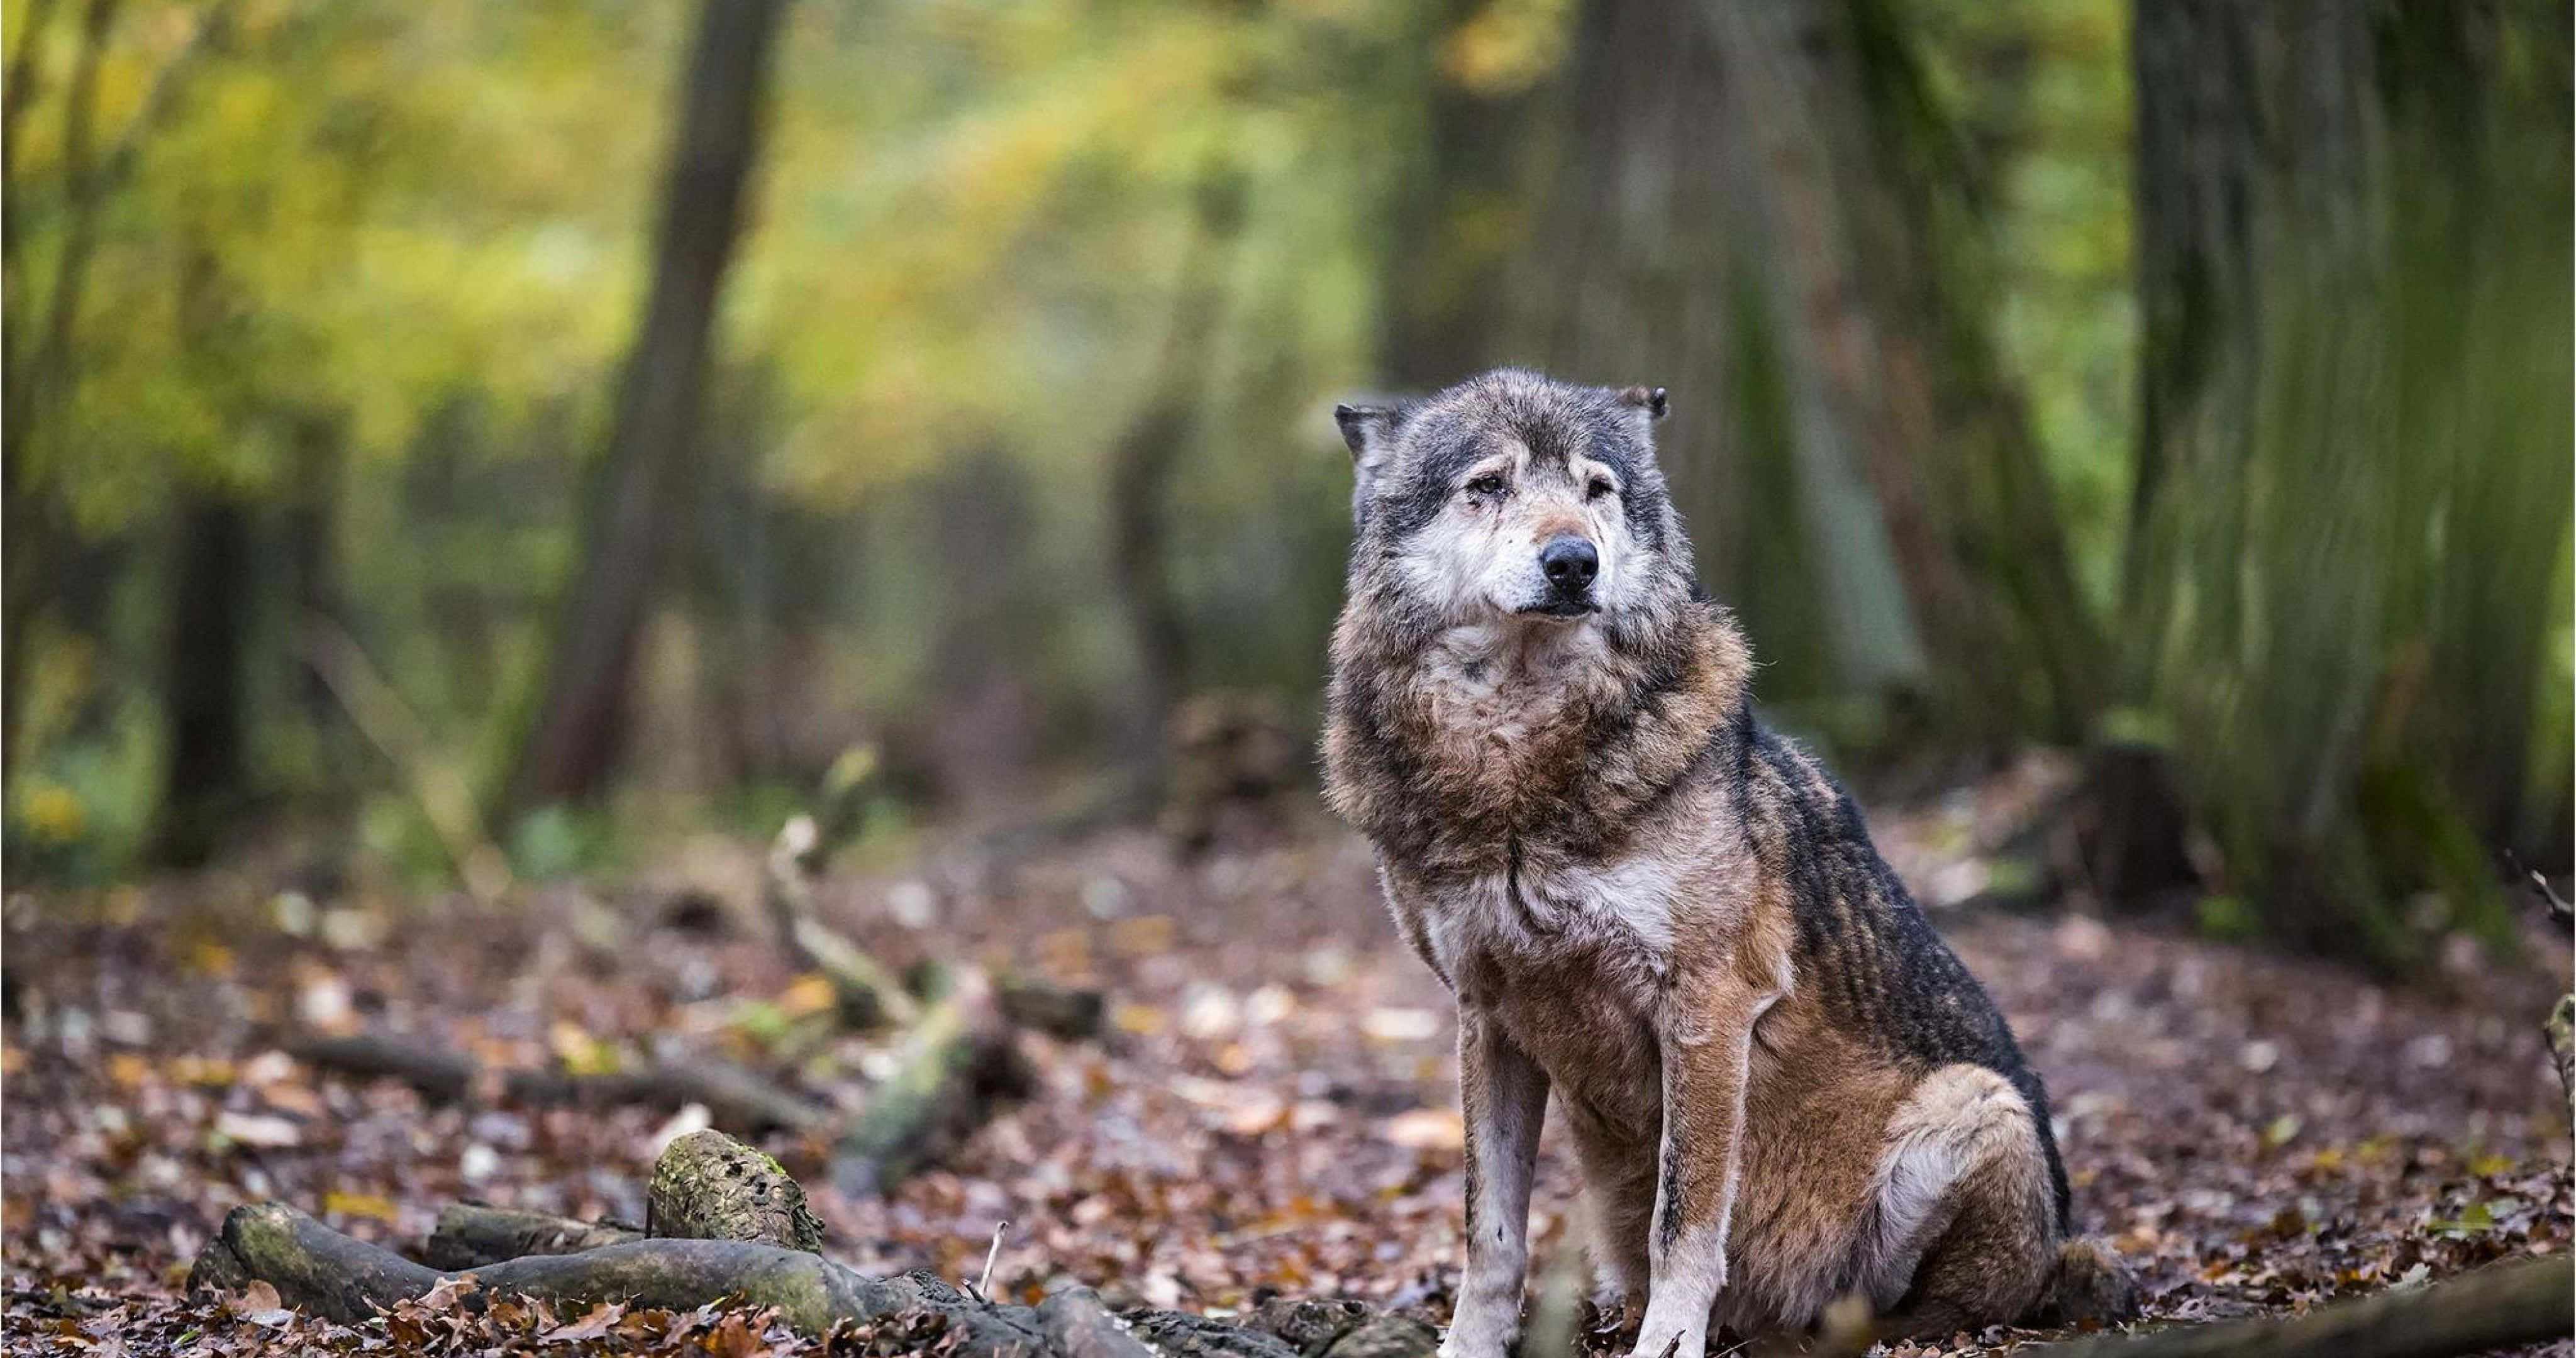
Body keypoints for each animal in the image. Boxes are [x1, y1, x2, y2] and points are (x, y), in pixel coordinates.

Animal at [1321, 370, 2135, 1358]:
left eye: (1596, 489)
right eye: (1488, 485)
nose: (1573, 562)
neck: (1518, 763)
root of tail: (2060, 1248)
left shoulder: (1706, 1002)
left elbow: (1686, 1216)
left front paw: (1669, 1343)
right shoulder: (1488, 1016)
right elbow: (1490, 1231)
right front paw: (1467, 1347)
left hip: (1980, 1106)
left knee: (1915, 1311)